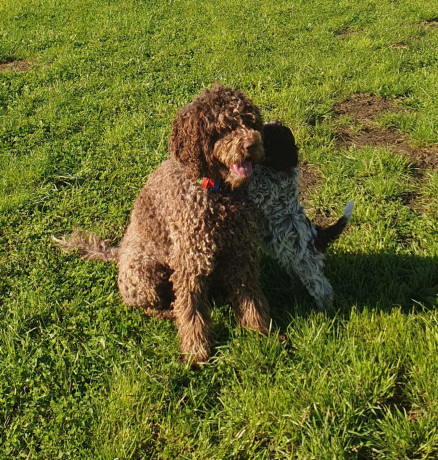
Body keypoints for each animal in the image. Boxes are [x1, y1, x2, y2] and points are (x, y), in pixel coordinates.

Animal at [54, 84, 270, 364]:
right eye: (223, 128)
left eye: (249, 120)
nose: (252, 144)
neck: (218, 193)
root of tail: (119, 253)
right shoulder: (190, 260)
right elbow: (191, 310)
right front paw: (196, 350)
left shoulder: (240, 253)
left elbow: (251, 296)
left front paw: (261, 331)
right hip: (143, 273)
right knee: (149, 306)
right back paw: (168, 312)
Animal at [250, 122, 352, 310]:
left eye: (269, 135)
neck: (276, 167)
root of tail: (318, 235)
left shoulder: (264, 186)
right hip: (292, 260)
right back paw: (291, 292)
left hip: (307, 263)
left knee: (321, 287)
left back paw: (325, 310)